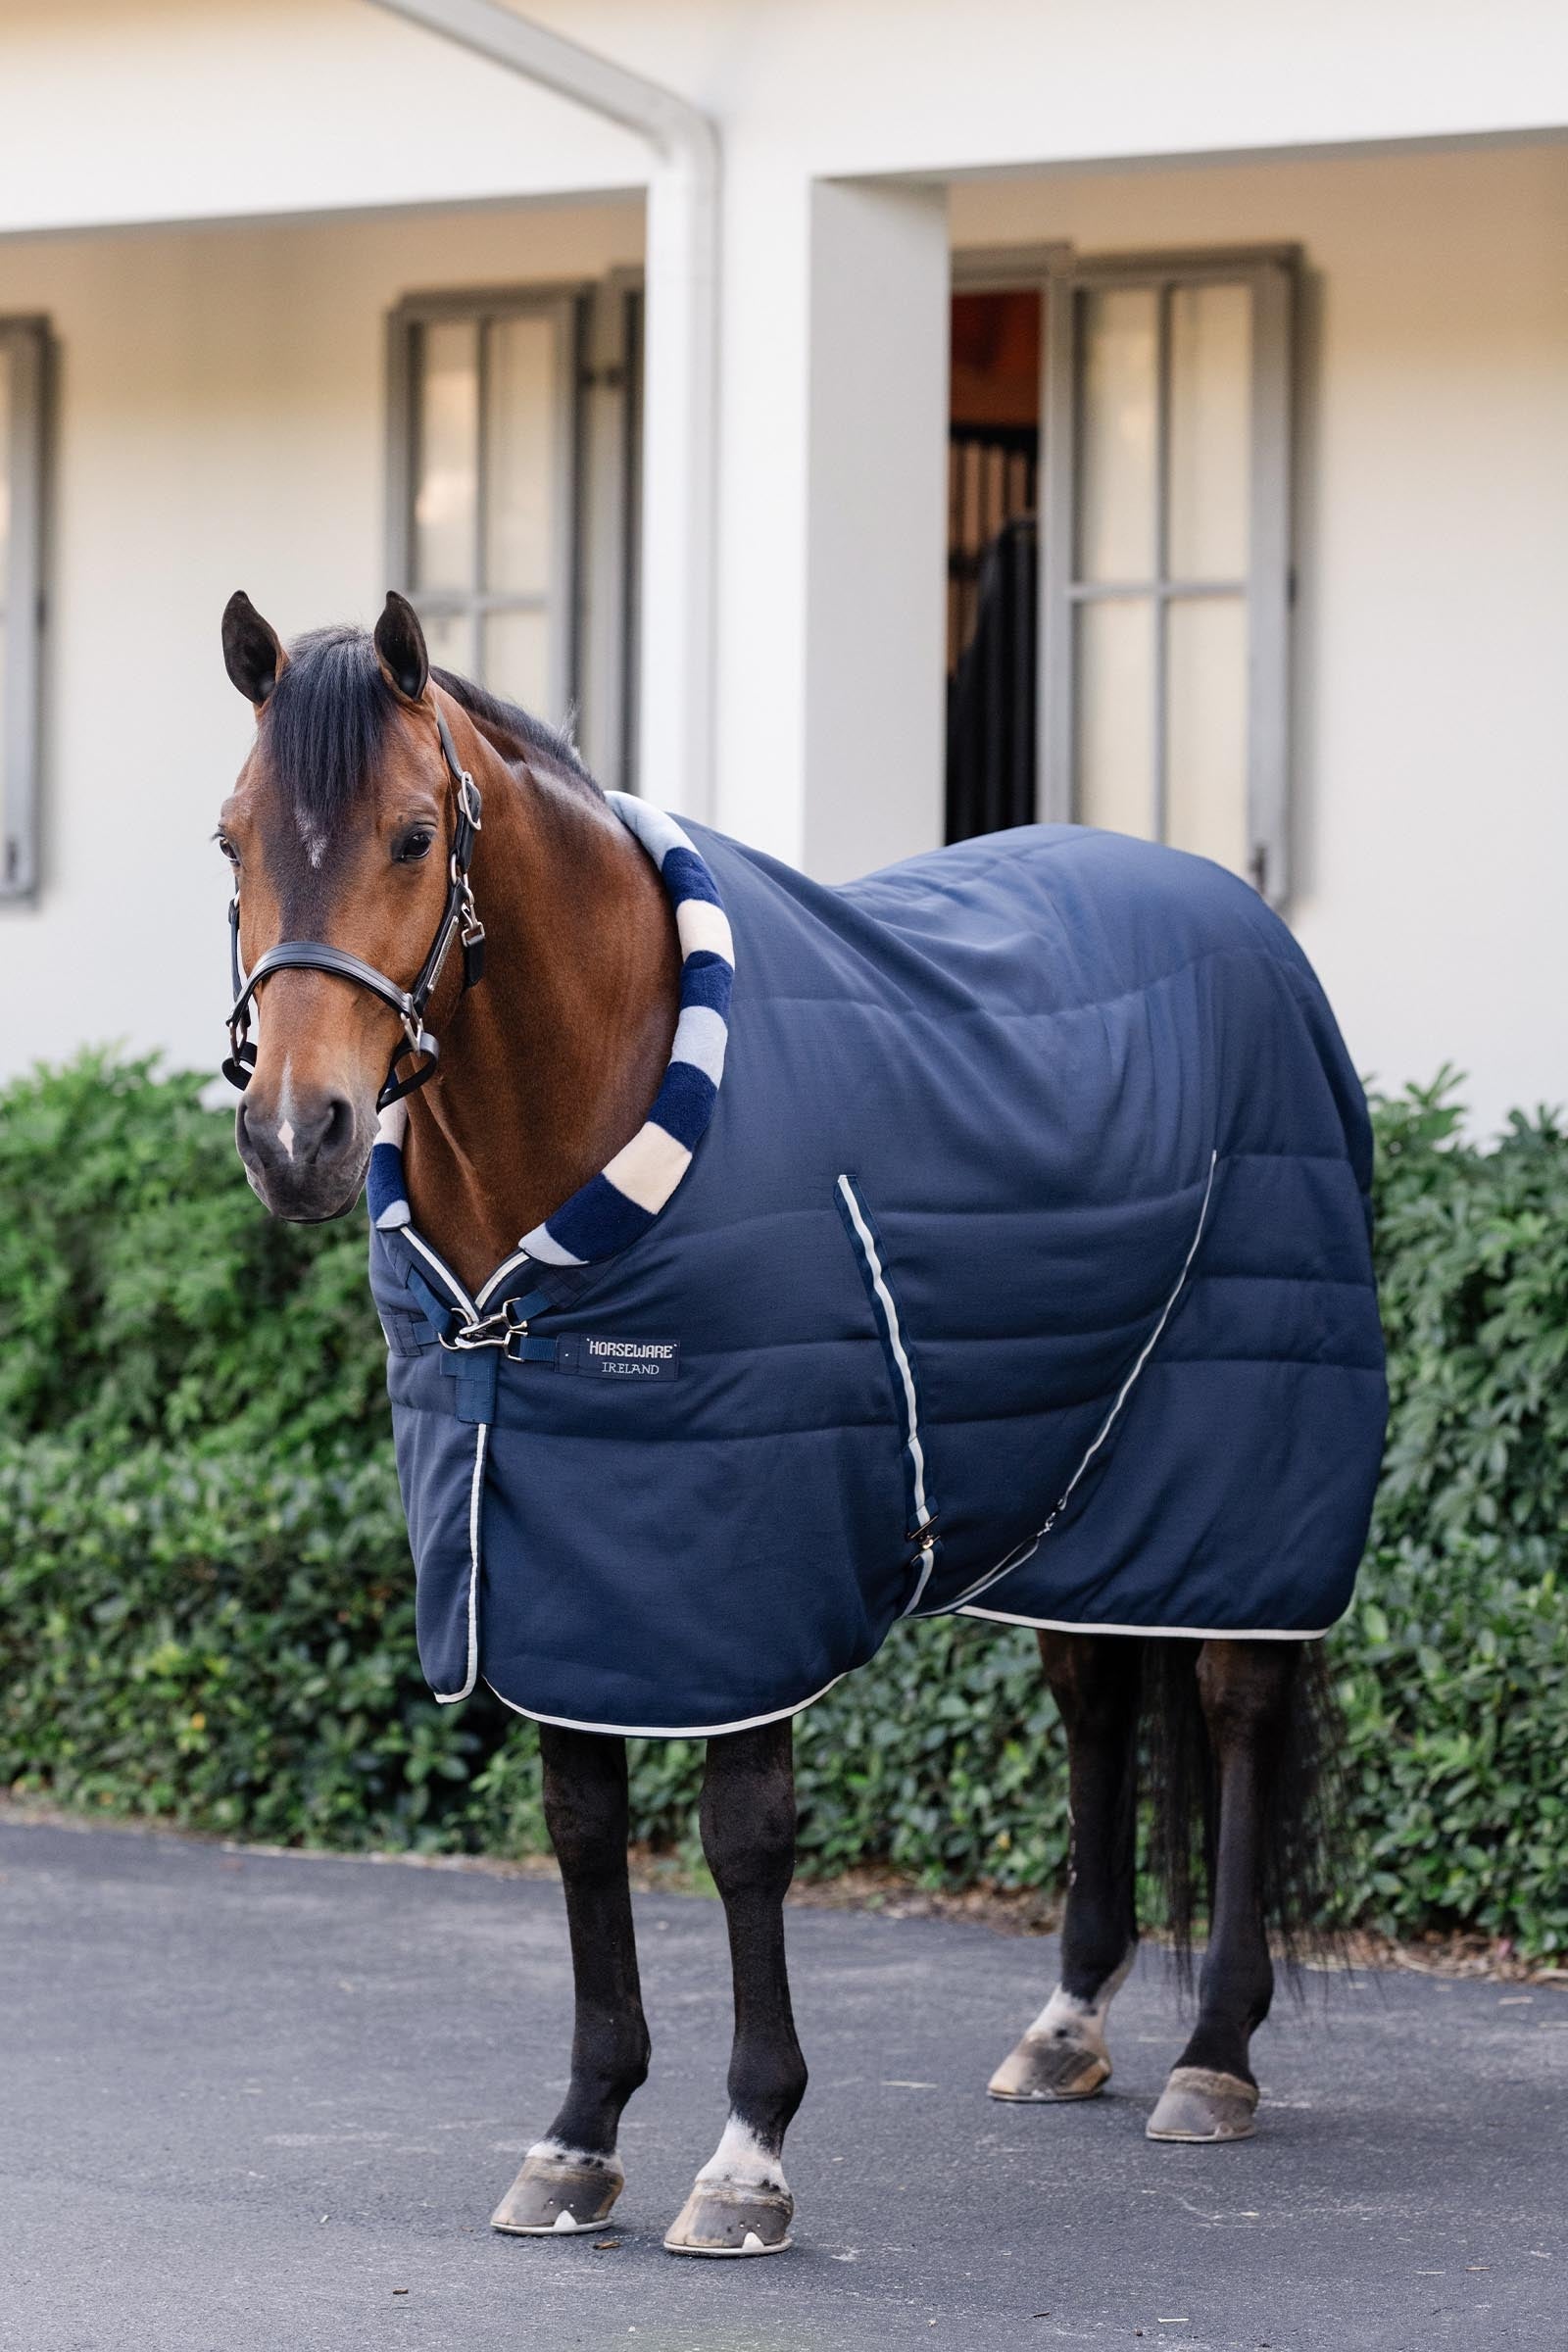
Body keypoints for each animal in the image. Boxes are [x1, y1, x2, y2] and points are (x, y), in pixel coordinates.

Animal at [216, 588, 1386, 2256]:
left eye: (410, 837)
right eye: (230, 837)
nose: (294, 1137)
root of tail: (1246, 921)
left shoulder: (736, 1562)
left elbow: (746, 1835)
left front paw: (747, 2152)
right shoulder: (552, 1545)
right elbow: (583, 1822)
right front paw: (578, 2136)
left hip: (1240, 1460)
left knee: (1232, 1704)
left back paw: (1215, 2052)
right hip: (1084, 1487)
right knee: (1096, 1694)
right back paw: (1068, 2025)